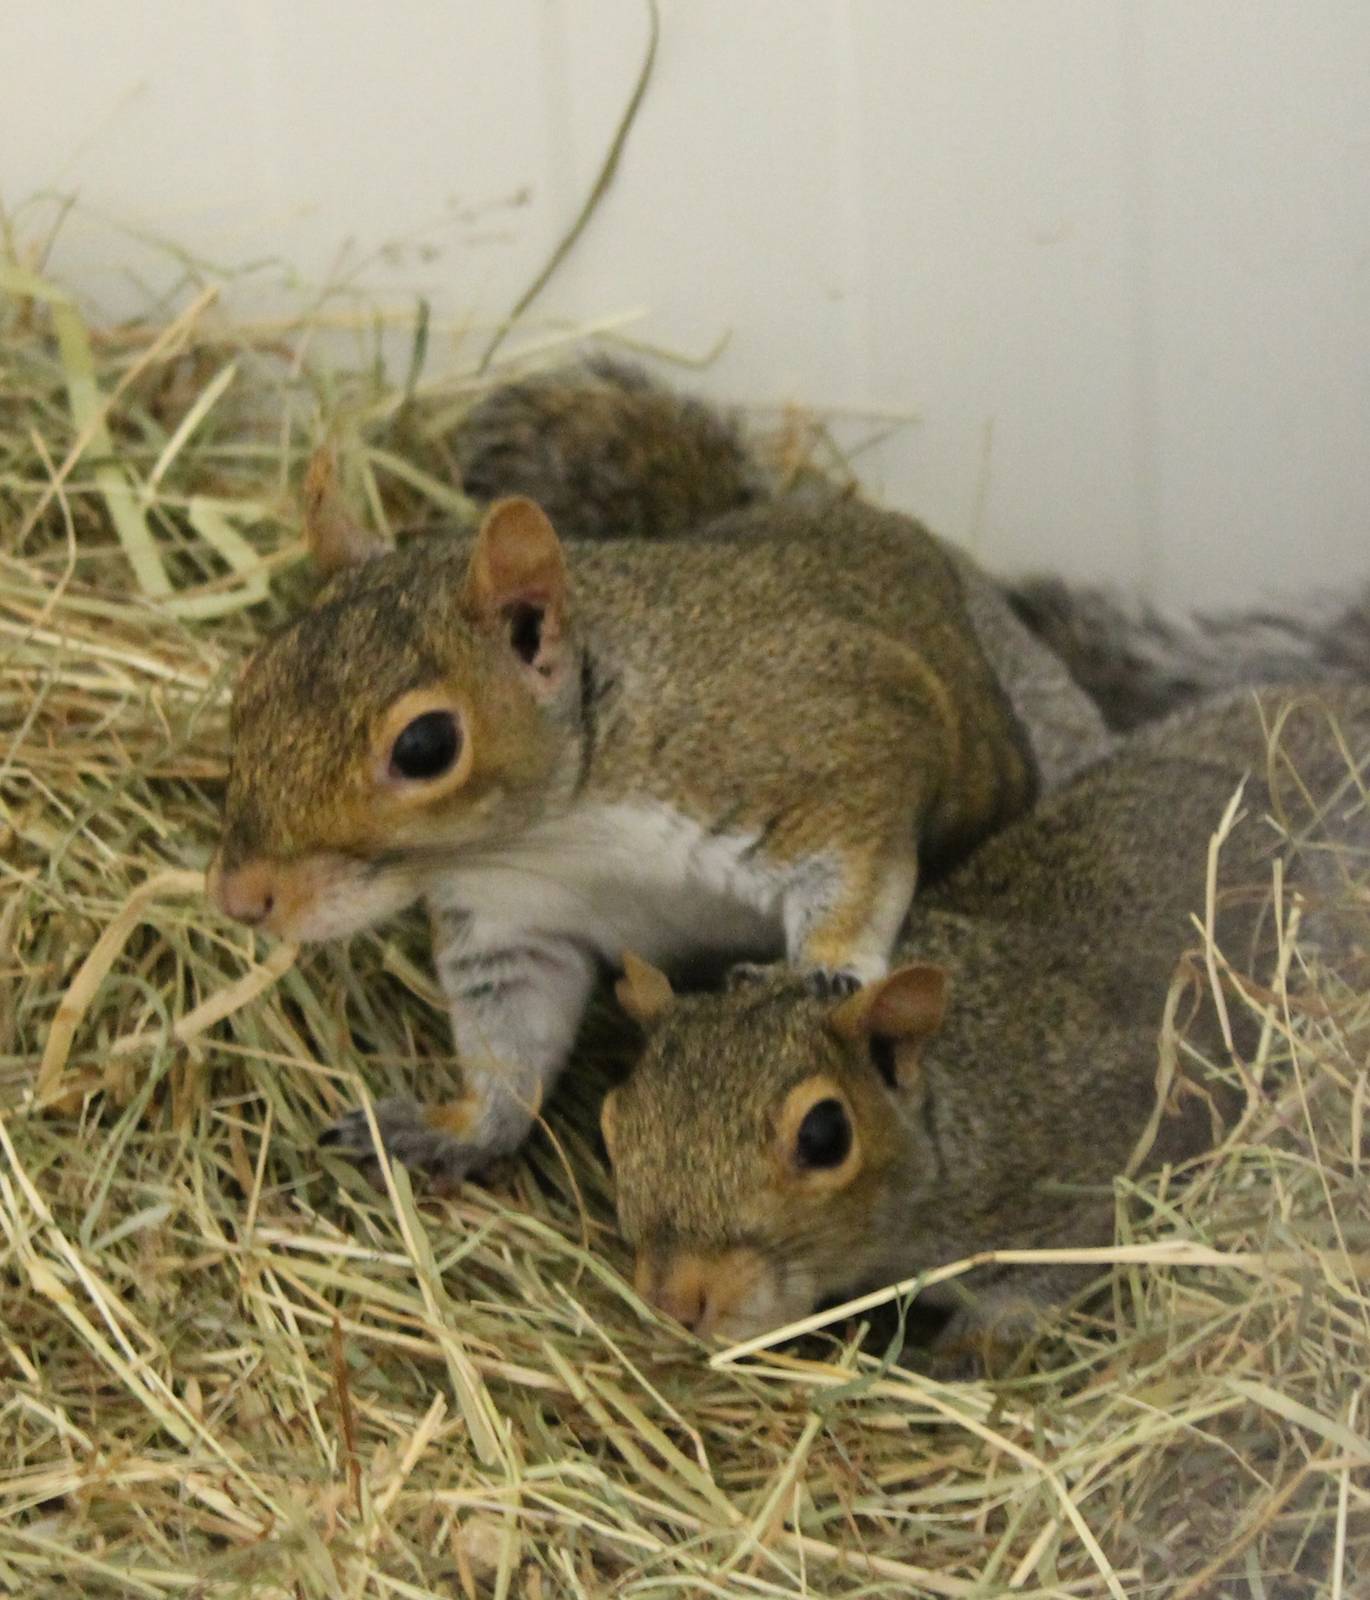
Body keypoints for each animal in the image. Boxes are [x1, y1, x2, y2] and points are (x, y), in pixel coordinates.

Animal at [210, 394, 1113, 1184]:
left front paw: (826, 970)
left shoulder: (837, 756)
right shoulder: (513, 923)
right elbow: (512, 1044)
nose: (241, 897)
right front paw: (455, 1130)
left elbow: (858, 870)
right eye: (253, 676)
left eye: (426, 745)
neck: (556, 835)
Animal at [601, 682, 1370, 1359]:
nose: (675, 1302)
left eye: (824, 1136)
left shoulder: (1103, 1163)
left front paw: (973, 1345)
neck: (958, 1119)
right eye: (614, 1122)